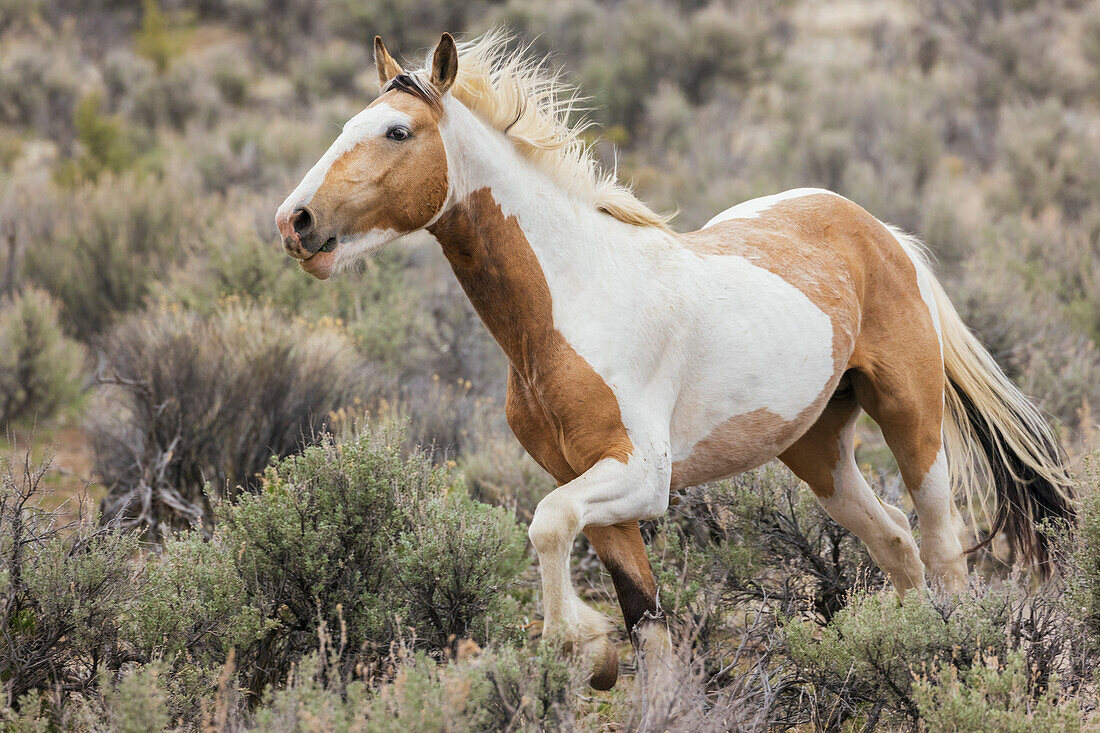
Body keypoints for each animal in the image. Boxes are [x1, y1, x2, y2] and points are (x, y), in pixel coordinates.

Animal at [275, 32, 1073, 686]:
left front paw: (583, 647)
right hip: (818, 451)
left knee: (943, 551)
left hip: (912, 419)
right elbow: (644, 618)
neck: (572, 303)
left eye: (397, 130)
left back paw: (957, 664)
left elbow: (546, 525)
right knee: (898, 546)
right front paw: (608, 659)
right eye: (347, 126)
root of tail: (881, 232)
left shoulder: (639, 476)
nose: (295, 220)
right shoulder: (589, 486)